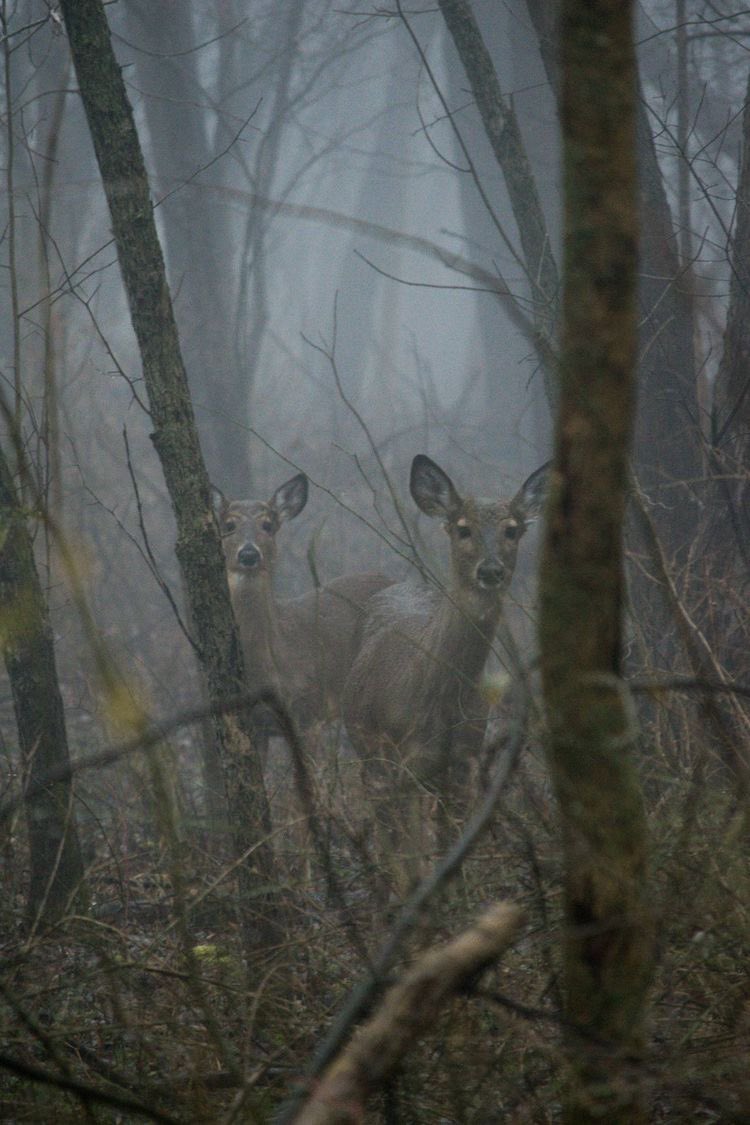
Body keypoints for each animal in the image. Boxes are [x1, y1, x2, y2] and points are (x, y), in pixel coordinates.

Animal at [342, 453, 548, 893]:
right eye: (463, 528)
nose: (491, 570)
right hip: (368, 749)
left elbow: (450, 849)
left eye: (513, 529)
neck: (440, 699)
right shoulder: (402, 763)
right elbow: (409, 854)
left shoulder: (463, 765)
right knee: (388, 827)